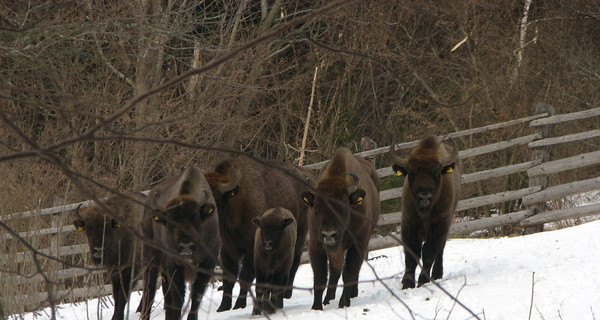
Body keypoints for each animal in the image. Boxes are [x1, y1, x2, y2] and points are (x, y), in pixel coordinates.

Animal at [72, 191, 150, 320]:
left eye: (108, 227)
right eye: (88, 228)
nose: (98, 251)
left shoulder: (130, 270)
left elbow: (123, 295)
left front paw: (117, 317)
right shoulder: (113, 271)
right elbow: (116, 295)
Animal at [143, 165, 220, 320]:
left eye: (197, 217)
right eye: (170, 221)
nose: (186, 246)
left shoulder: (207, 262)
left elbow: (196, 295)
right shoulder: (174, 264)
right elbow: (178, 299)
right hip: (151, 256)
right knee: (149, 290)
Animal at [205, 159, 316, 312]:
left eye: (216, 197)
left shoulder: (251, 248)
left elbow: (245, 275)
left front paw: (239, 305)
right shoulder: (228, 249)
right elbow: (229, 277)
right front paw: (223, 307)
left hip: (300, 235)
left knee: (294, 262)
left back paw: (286, 293)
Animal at [300, 148, 380, 310]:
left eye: (344, 205)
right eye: (316, 206)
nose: (329, 234)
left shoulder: (357, 244)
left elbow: (349, 272)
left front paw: (344, 303)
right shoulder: (316, 245)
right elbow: (320, 277)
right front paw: (317, 307)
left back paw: (352, 294)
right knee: (335, 271)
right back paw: (328, 299)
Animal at [392, 134, 462, 288]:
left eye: (437, 173)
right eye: (411, 172)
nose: (424, 198)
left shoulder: (440, 224)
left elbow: (429, 252)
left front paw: (423, 280)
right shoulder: (409, 222)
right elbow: (412, 252)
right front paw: (407, 283)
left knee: (440, 249)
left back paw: (437, 274)